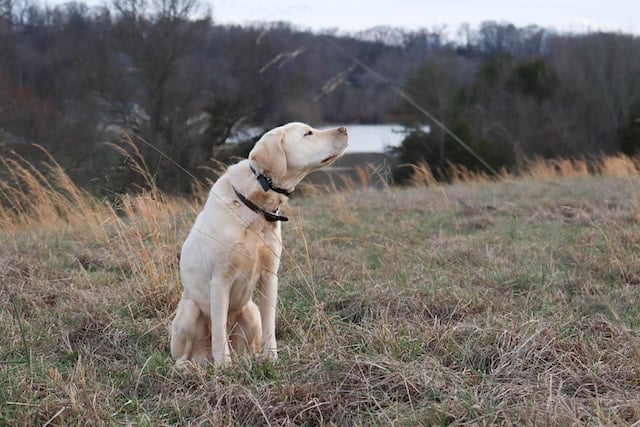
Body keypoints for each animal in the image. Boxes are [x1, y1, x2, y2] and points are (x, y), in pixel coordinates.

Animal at [170, 122, 348, 366]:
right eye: (308, 133)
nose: (345, 129)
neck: (254, 207)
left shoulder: (269, 276)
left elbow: (269, 325)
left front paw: (271, 358)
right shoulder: (220, 281)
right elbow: (219, 329)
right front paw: (224, 366)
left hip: (250, 312)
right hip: (189, 310)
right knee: (184, 354)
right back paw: (188, 366)